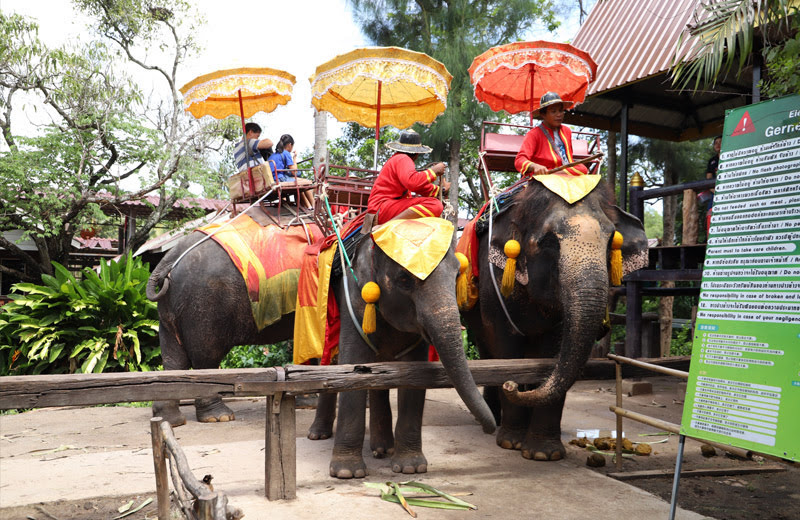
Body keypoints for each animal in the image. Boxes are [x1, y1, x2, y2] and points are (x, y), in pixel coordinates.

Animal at [462, 178, 648, 460]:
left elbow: (555, 349)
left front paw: (543, 454)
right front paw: (511, 443)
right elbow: (506, 347)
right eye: (549, 242)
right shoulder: (493, 282)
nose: (510, 386)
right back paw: (493, 419)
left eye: (611, 242)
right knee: (487, 348)